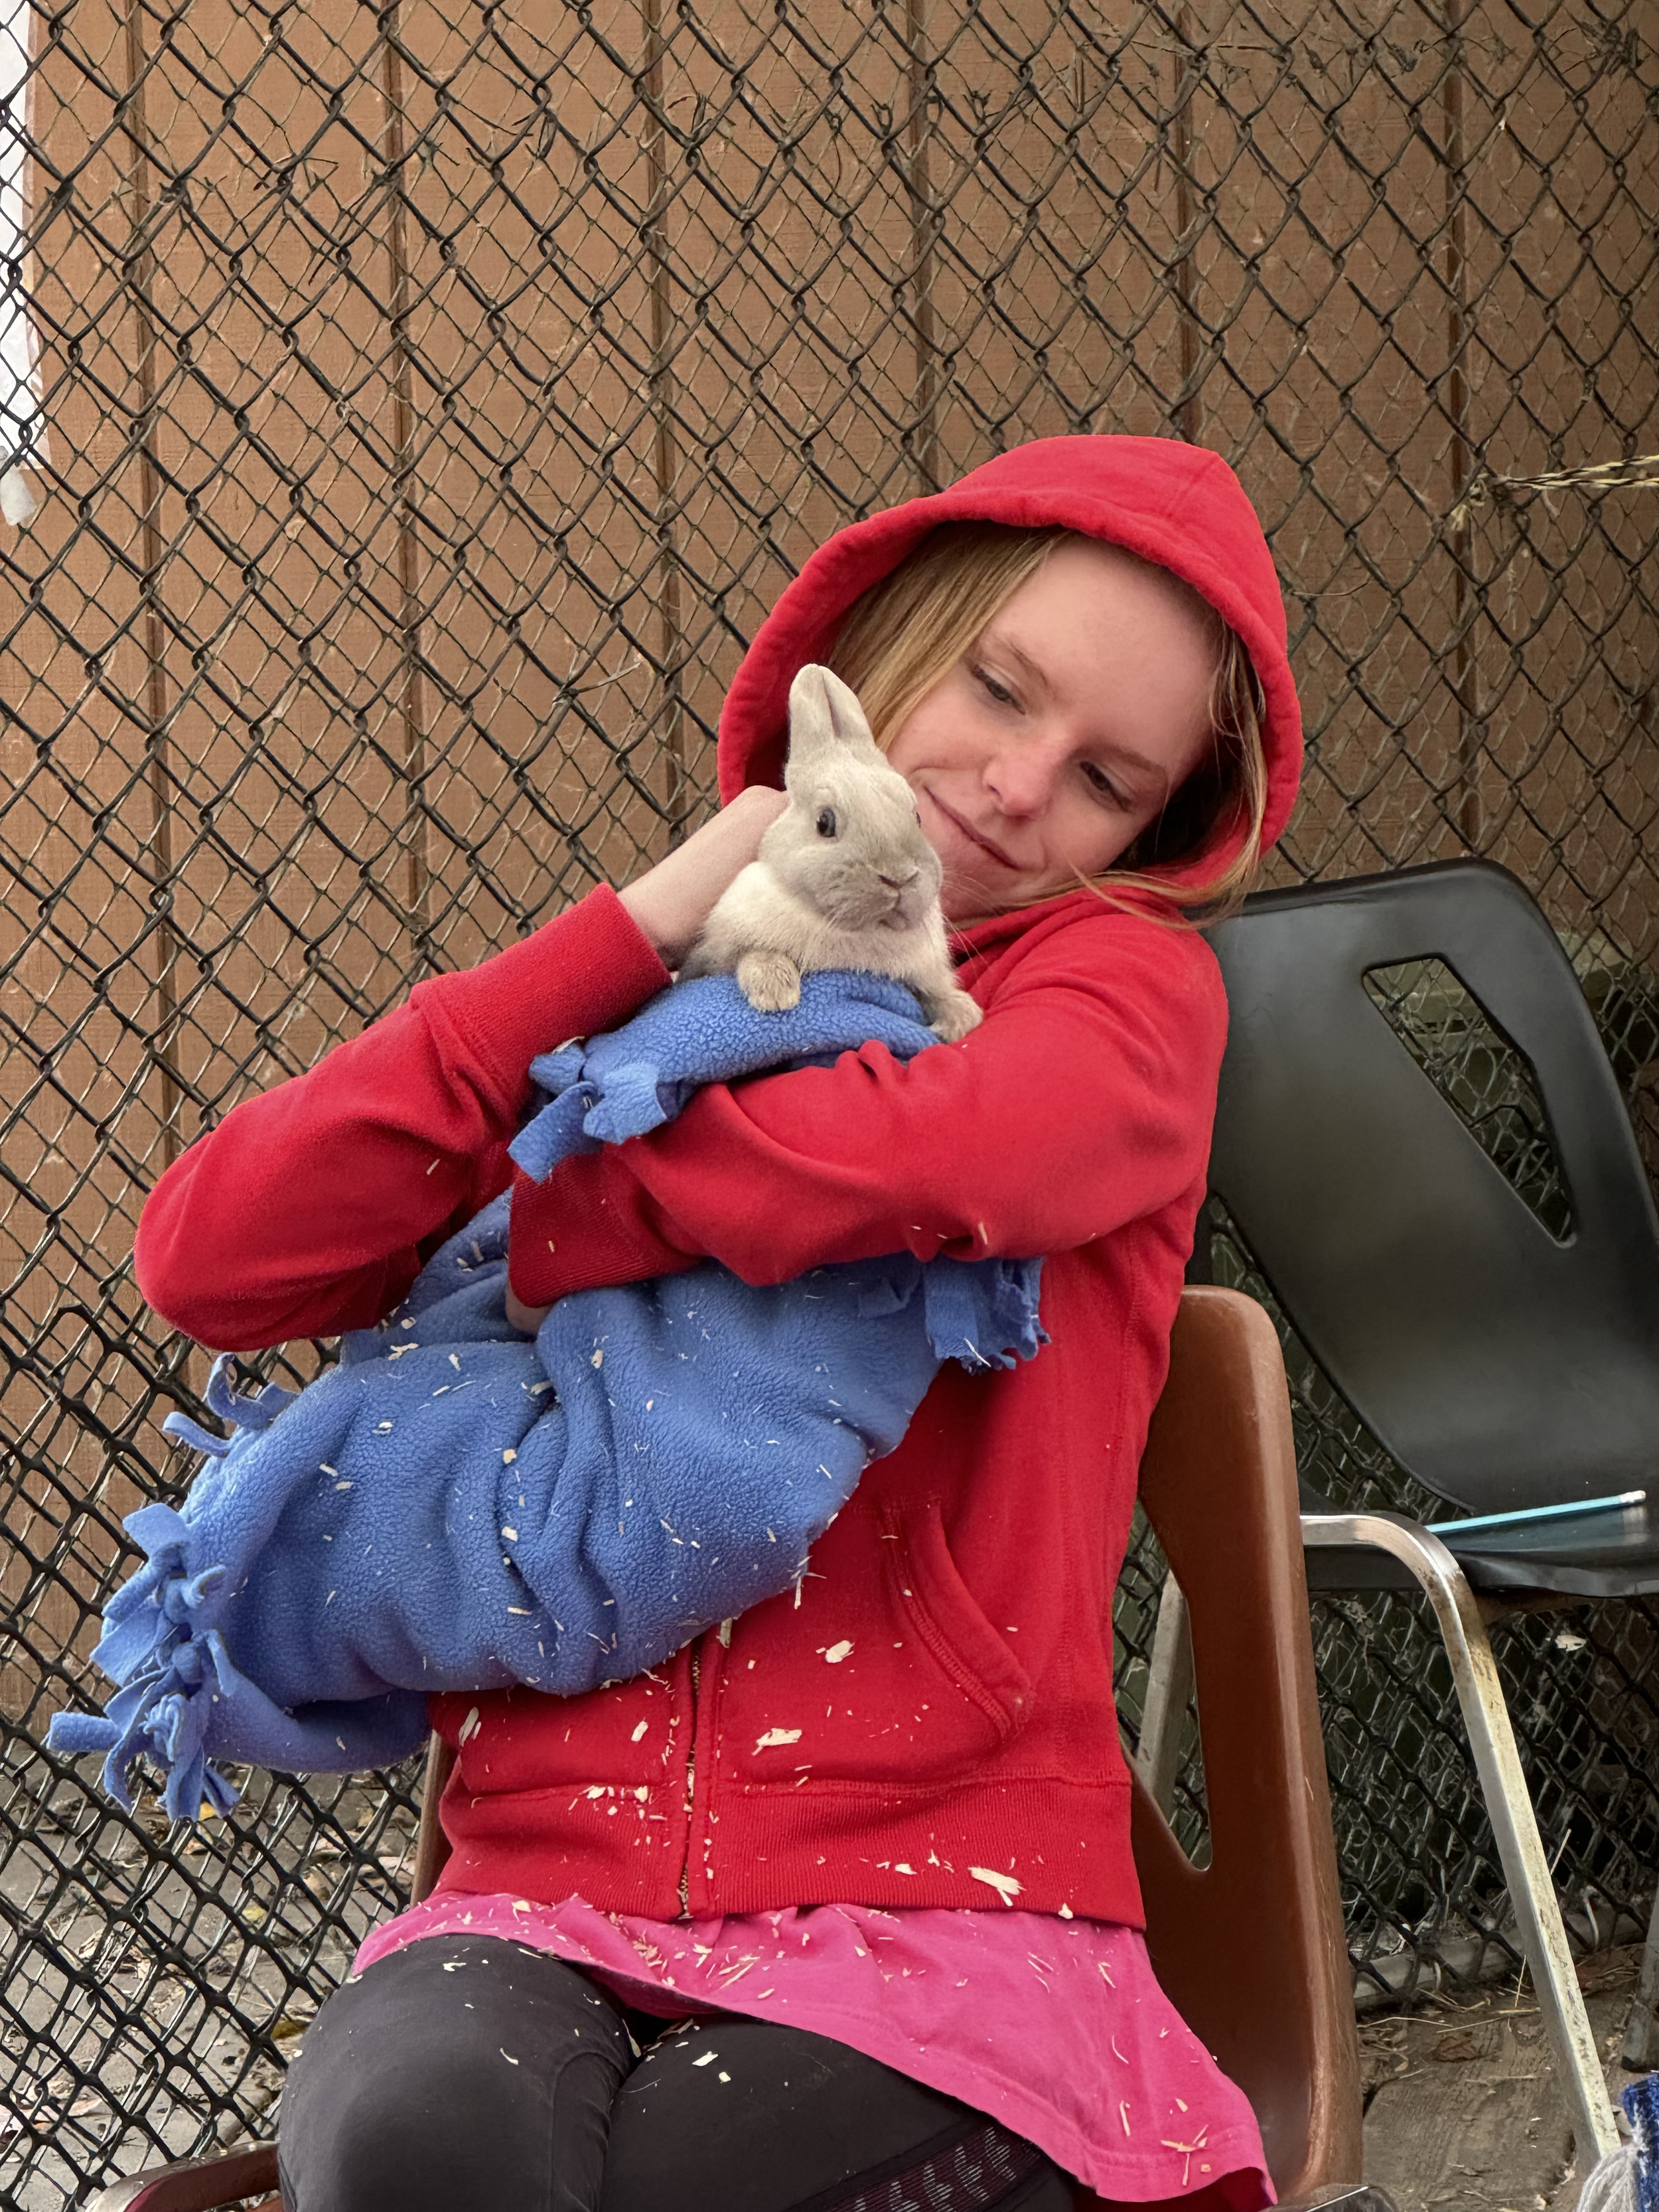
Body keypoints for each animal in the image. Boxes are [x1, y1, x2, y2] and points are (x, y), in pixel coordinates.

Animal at [680, 664, 982, 1043]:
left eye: (917, 816)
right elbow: (753, 954)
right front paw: (776, 993)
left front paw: (962, 1017)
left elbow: (934, 993)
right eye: (825, 822)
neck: (859, 931)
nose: (899, 877)